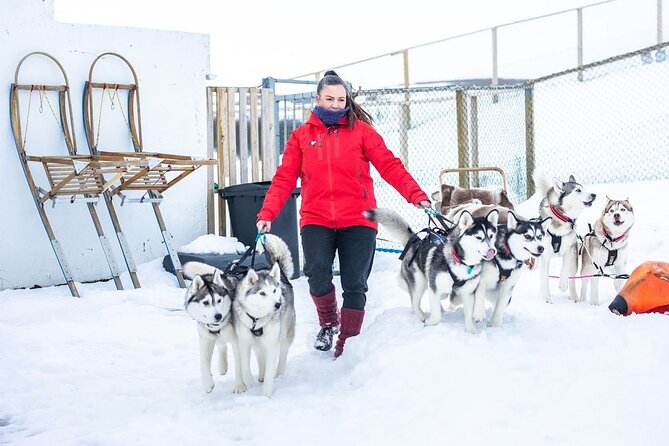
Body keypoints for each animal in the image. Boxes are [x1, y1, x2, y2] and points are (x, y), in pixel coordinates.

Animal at [183, 262, 245, 394]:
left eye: (219, 300)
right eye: (206, 302)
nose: (218, 316)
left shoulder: (237, 340)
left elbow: (239, 364)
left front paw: (240, 385)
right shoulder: (205, 338)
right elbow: (203, 361)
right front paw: (207, 383)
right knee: (221, 345)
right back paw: (222, 366)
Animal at [234, 233, 296, 398]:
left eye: (274, 291)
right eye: (262, 293)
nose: (278, 304)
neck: (257, 319)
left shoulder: (272, 342)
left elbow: (270, 369)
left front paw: (266, 395)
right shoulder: (244, 341)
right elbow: (244, 366)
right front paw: (249, 383)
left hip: (285, 333)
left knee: (283, 353)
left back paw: (279, 374)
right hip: (258, 342)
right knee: (260, 354)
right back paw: (261, 374)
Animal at [366, 207, 496, 332]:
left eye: (491, 236)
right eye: (478, 237)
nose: (492, 251)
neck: (461, 262)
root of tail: (416, 241)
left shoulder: (467, 292)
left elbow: (467, 314)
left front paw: (470, 331)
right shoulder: (435, 287)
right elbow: (436, 314)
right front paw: (431, 322)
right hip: (419, 283)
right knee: (415, 304)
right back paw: (423, 316)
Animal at [536, 174, 596, 304]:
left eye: (583, 188)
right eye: (578, 190)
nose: (594, 195)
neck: (562, 218)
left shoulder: (571, 249)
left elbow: (565, 267)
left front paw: (562, 283)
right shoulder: (545, 256)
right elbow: (544, 279)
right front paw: (546, 298)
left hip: (574, 262)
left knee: (572, 279)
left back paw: (574, 296)